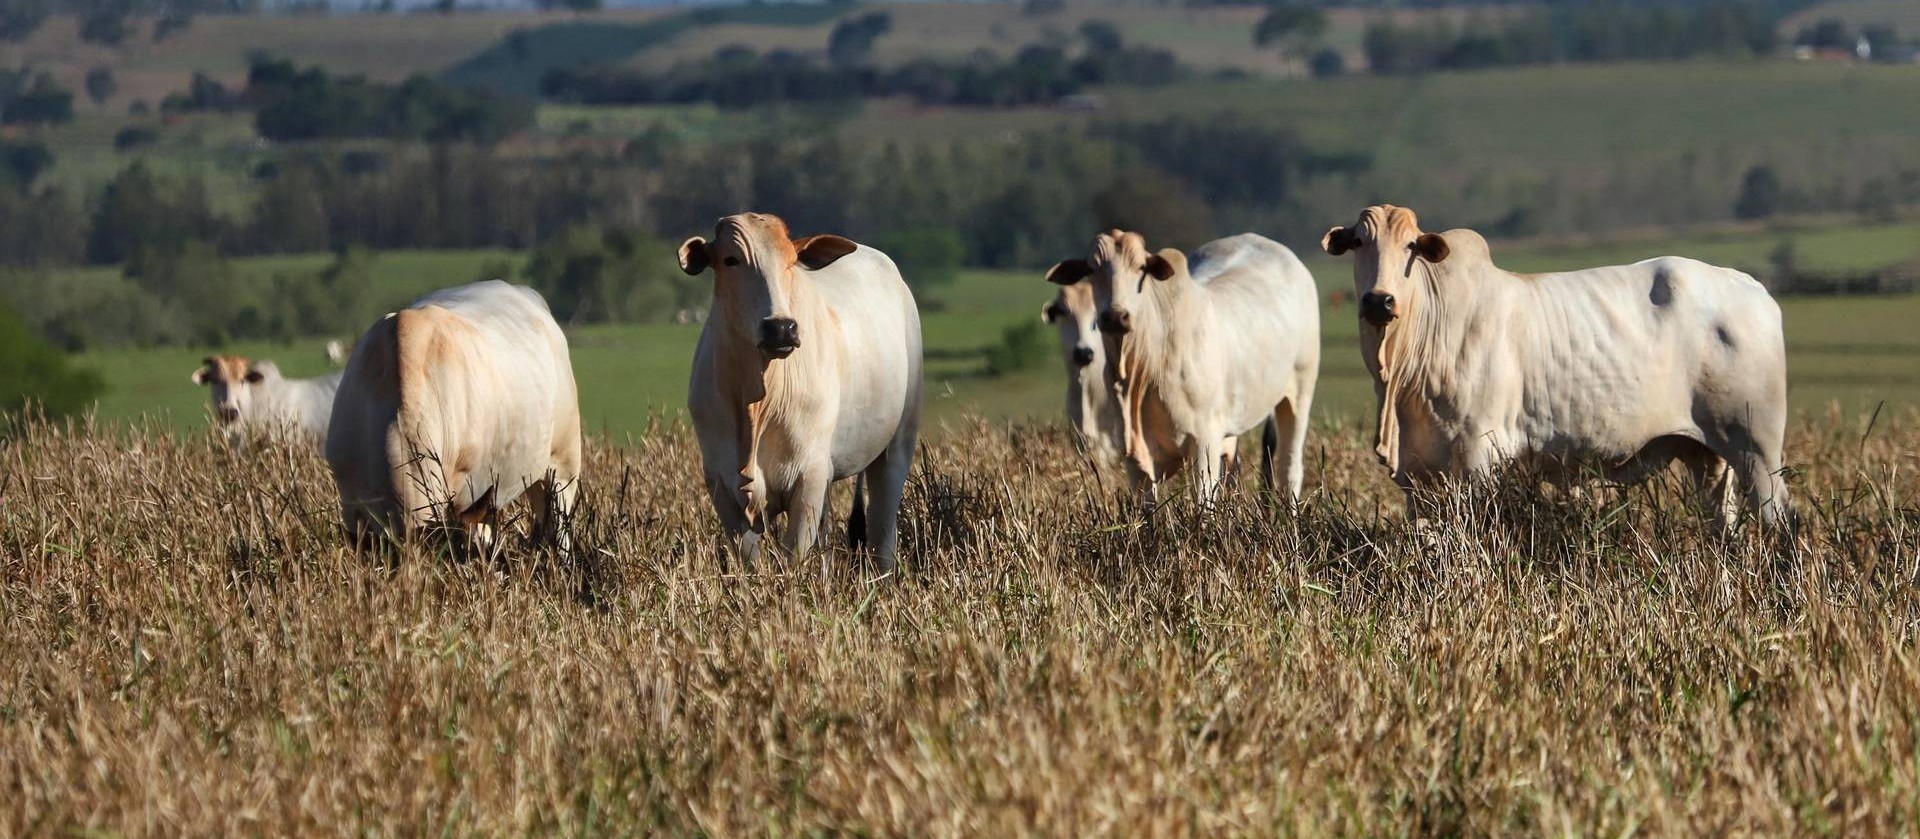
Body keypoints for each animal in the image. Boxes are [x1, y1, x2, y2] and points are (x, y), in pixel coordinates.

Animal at [683, 212, 921, 572]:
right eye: (730, 259)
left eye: (791, 261)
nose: (780, 328)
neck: (759, 400)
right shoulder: (721, 483)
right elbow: (749, 560)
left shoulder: (809, 476)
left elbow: (793, 556)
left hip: (897, 445)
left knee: (882, 531)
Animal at [1052, 228, 1320, 499]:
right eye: (1092, 269)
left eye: (1141, 268)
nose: (1116, 316)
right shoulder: (1133, 454)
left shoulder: (1204, 441)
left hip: (1299, 393)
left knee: (1290, 469)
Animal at [1320, 202, 1781, 522]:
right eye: (1358, 242)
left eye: (1411, 246)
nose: (1379, 301)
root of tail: (1750, 286)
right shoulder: (1416, 476)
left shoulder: (1477, 457)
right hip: (1708, 456)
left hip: (1758, 451)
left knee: (1780, 522)